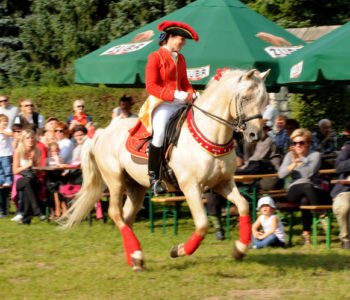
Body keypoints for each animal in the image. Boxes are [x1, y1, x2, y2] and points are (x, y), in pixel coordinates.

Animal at [60, 68, 270, 272]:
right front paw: (179, 250)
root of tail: (102, 132)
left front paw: (239, 249)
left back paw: (135, 258)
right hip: (115, 180)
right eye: (246, 98)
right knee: (115, 213)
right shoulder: (191, 187)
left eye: (265, 100)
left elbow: (243, 205)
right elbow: (202, 224)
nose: (256, 134)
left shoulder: (223, 182)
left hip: (136, 186)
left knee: (126, 218)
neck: (210, 135)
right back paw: (137, 254)